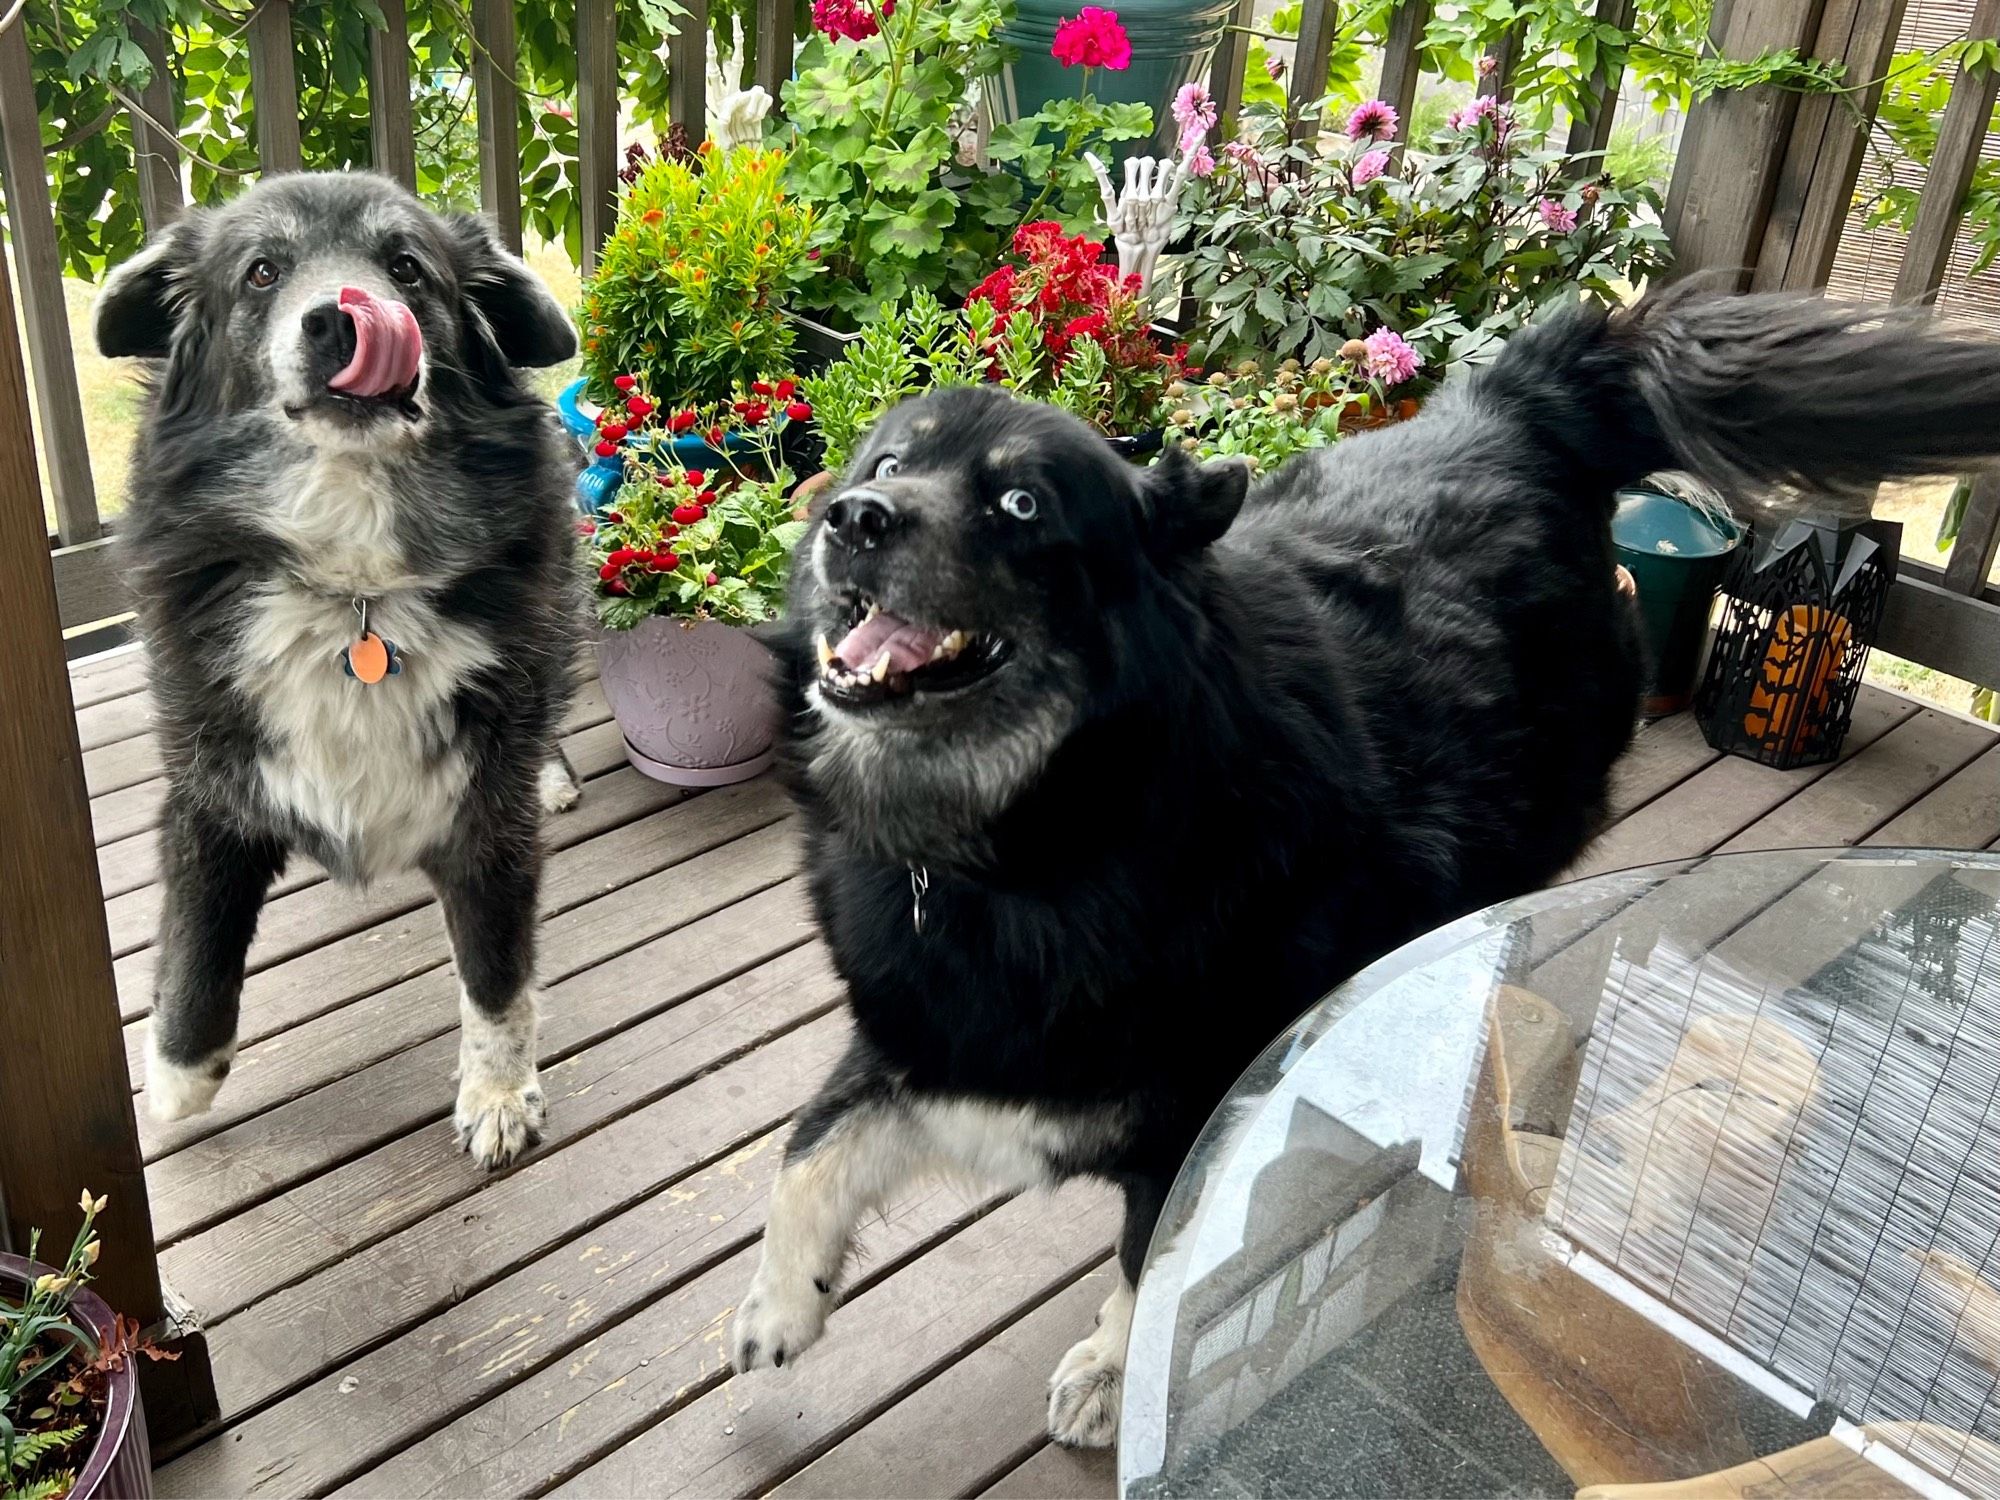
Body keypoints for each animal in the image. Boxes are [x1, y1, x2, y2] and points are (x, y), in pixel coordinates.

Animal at [97, 170, 584, 1168]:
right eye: (261, 271)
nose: (340, 320)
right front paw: (176, 1078)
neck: (355, 588)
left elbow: (495, 974)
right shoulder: (210, 785)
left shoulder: (485, 810)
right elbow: (196, 940)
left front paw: (499, 1093)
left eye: (407, 268)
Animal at [736, 288, 2000, 1448]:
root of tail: (1512, 405)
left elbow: (1145, 1267)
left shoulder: (1186, 1116)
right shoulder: (924, 1030)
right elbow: (809, 1142)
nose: (850, 517)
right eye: (888, 460)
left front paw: (1107, 1369)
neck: (1031, 839)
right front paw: (775, 1304)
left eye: (1018, 503)